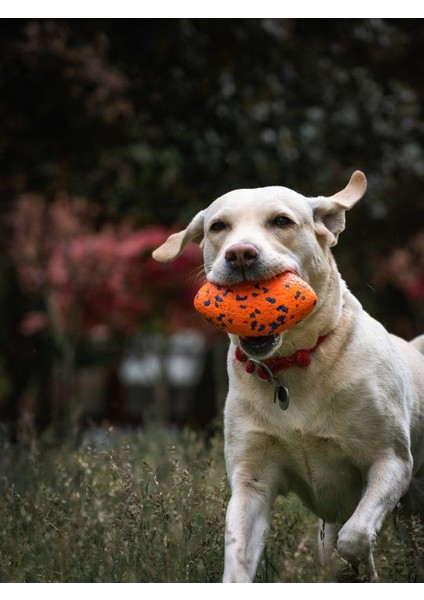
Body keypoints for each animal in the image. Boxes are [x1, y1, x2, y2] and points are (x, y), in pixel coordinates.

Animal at [152, 171, 424, 584]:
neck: (291, 365)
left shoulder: (391, 462)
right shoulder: (251, 482)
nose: (240, 254)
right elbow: (238, 558)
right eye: (218, 227)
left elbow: (356, 536)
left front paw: (367, 570)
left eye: (281, 221)